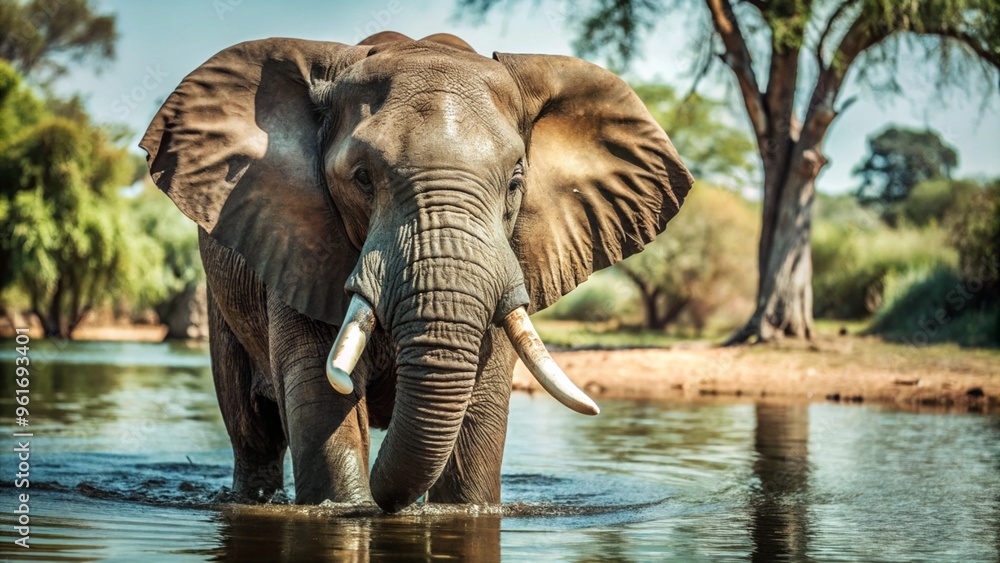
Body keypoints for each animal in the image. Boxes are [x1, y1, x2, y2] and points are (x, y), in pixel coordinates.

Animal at [141, 31, 692, 513]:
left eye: (516, 182)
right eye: (362, 178)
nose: (389, 503)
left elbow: (480, 407)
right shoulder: (299, 245)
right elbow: (321, 397)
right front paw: (351, 507)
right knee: (253, 434)